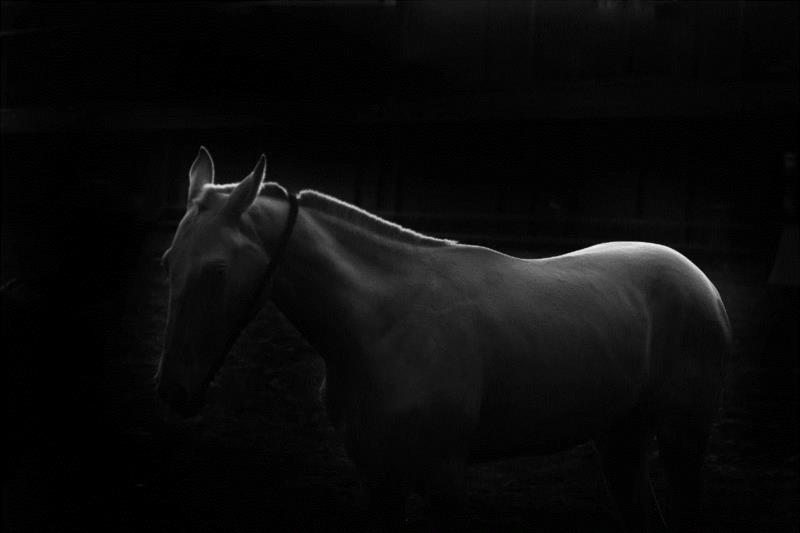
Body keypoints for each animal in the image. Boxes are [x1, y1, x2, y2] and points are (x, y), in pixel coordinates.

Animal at [156, 147, 730, 532]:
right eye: (167, 261)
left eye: (215, 271)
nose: (172, 393)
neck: (383, 329)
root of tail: (700, 281)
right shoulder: (379, 479)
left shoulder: (444, 479)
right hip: (620, 438)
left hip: (683, 438)